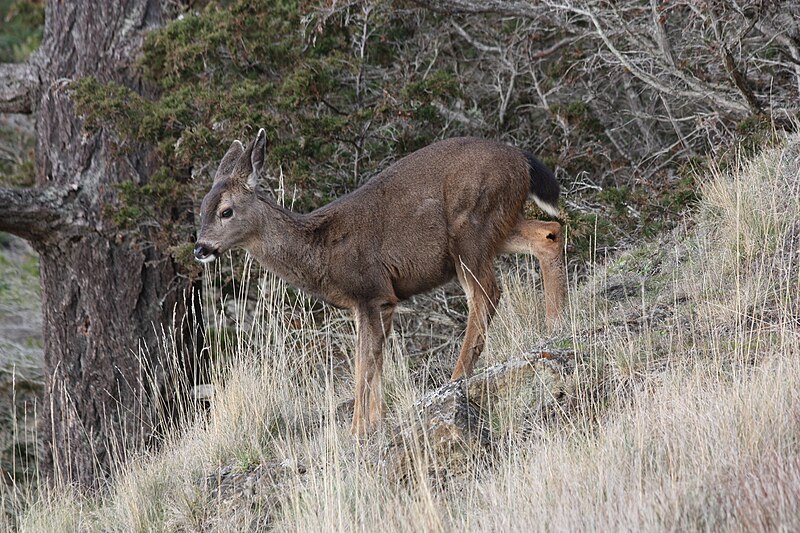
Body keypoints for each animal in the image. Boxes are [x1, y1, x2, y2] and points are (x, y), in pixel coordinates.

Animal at [195, 129, 568, 432]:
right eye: (202, 209)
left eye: (226, 211)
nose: (200, 248)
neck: (321, 252)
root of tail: (522, 159)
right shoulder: (381, 302)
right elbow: (376, 361)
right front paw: (375, 421)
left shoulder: (370, 291)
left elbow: (364, 364)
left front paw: (356, 430)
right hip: (499, 225)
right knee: (549, 233)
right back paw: (554, 327)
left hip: (470, 226)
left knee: (487, 293)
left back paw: (457, 377)